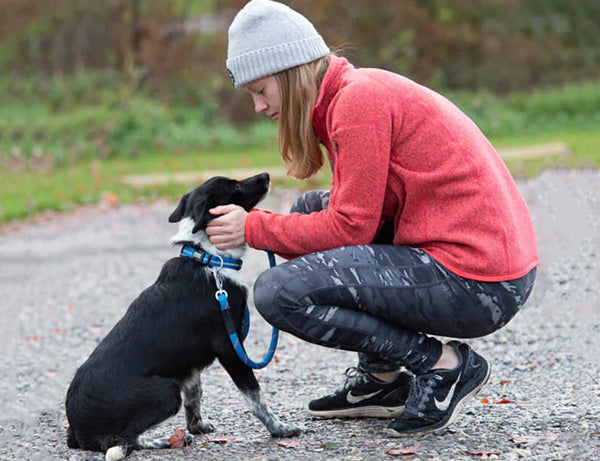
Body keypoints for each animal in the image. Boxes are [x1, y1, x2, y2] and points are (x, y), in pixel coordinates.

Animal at [65, 173, 300, 460]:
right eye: (234, 186)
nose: (266, 175)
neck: (209, 258)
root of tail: (77, 430)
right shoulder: (230, 348)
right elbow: (255, 396)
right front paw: (279, 428)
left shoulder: (189, 366)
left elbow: (195, 393)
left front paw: (197, 426)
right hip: (166, 392)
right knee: (125, 438)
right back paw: (166, 441)